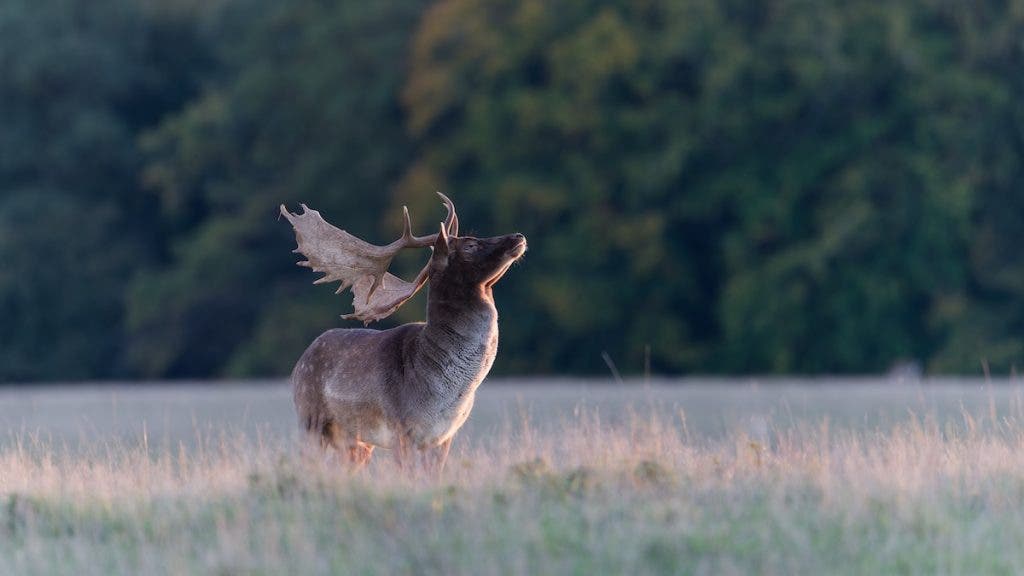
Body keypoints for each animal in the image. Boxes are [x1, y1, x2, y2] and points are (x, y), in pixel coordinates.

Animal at [280, 193, 526, 473]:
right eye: (470, 245)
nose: (518, 236)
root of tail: (300, 362)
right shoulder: (400, 428)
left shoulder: (444, 437)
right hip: (309, 417)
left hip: (355, 441)